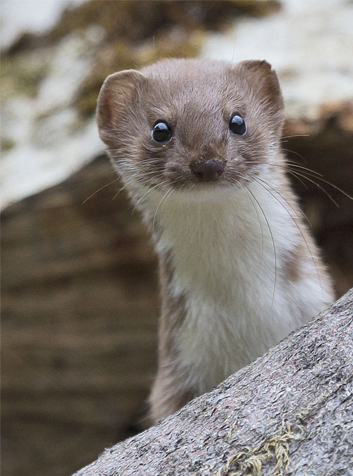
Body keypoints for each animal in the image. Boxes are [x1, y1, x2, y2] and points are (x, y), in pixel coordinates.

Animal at [96, 57, 332, 422]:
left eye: (238, 121)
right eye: (160, 129)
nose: (207, 162)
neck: (247, 308)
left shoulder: (314, 300)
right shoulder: (177, 372)